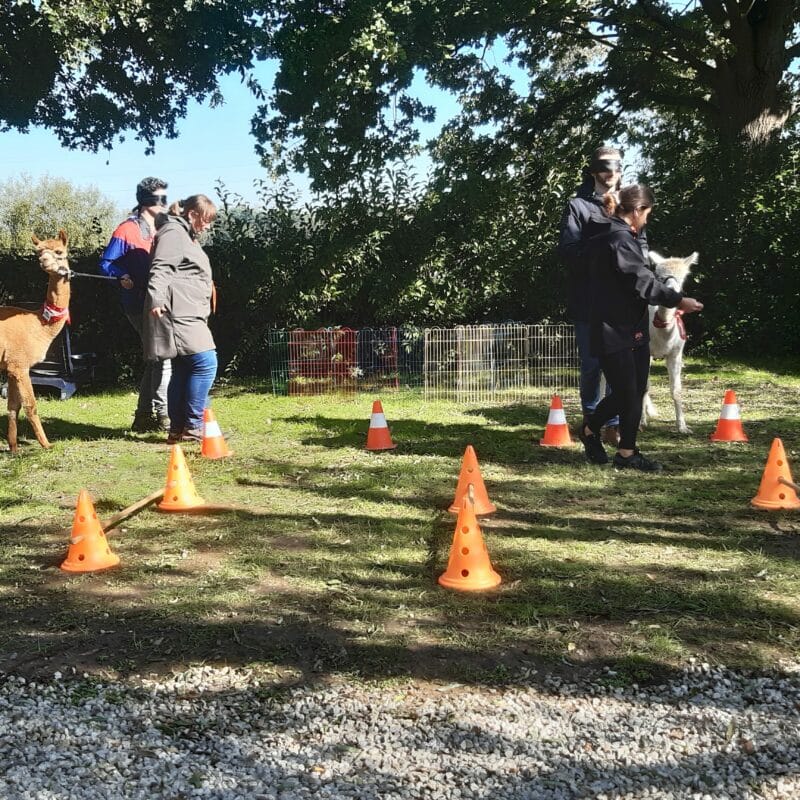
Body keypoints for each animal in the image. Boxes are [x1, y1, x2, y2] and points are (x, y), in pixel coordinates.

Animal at [641, 251, 699, 434]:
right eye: (659, 276)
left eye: (682, 278)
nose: (671, 291)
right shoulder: (644, 351)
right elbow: (643, 386)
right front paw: (640, 423)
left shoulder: (675, 353)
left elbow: (676, 390)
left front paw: (683, 427)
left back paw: (651, 411)